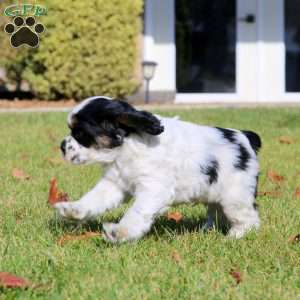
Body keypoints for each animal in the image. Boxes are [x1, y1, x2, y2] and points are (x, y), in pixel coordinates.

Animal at [55, 97, 260, 243]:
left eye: (80, 133)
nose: (62, 146)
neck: (127, 146)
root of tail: (245, 136)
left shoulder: (154, 189)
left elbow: (136, 212)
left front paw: (119, 232)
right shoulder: (115, 183)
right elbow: (94, 199)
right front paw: (72, 209)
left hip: (235, 197)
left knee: (249, 219)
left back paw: (233, 237)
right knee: (217, 212)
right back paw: (207, 230)